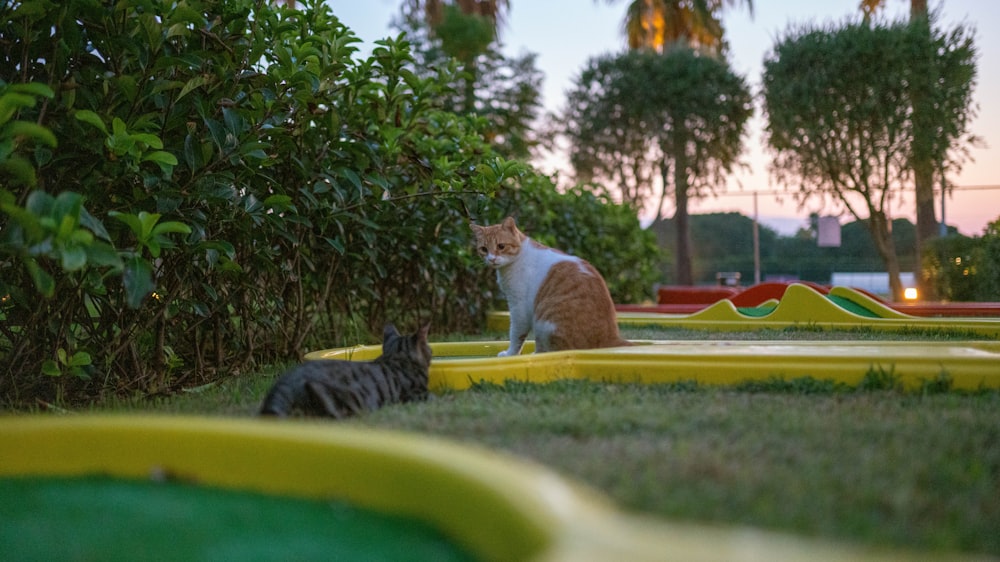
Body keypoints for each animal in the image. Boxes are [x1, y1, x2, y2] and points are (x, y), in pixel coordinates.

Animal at [472, 215, 628, 354]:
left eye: (501, 246)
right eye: (484, 249)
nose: (491, 259)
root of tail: (612, 337)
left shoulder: (519, 308)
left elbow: (516, 336)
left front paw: (510, 354)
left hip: (544, 323)